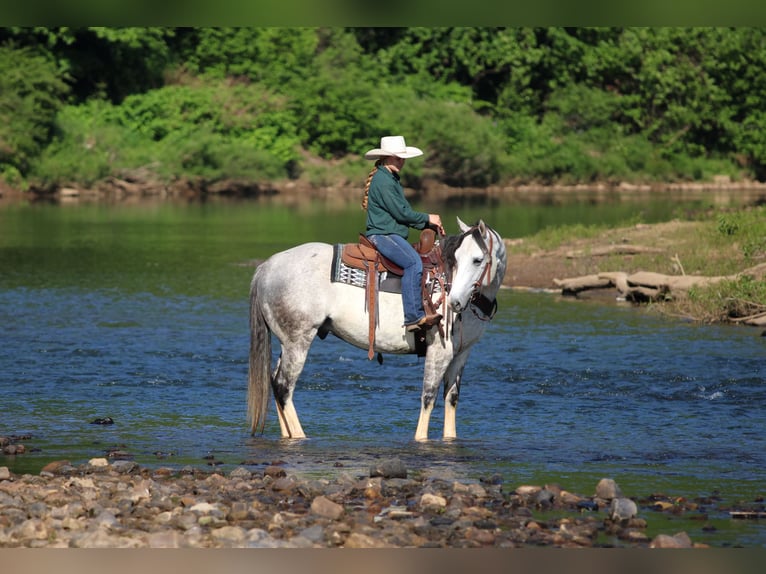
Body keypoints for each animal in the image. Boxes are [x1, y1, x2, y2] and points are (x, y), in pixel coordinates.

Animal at [248, 217, 507, 441]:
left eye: (477, 260)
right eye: (457, 259)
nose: (454, 302)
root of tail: (267, 267)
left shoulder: (461, 353)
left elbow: (451, 398)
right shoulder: (439, 351)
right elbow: (428, 396)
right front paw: (421, 439)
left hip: (288, 342)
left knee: (275, 382)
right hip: (298, 342)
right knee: (283, 386)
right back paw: (300, 436)